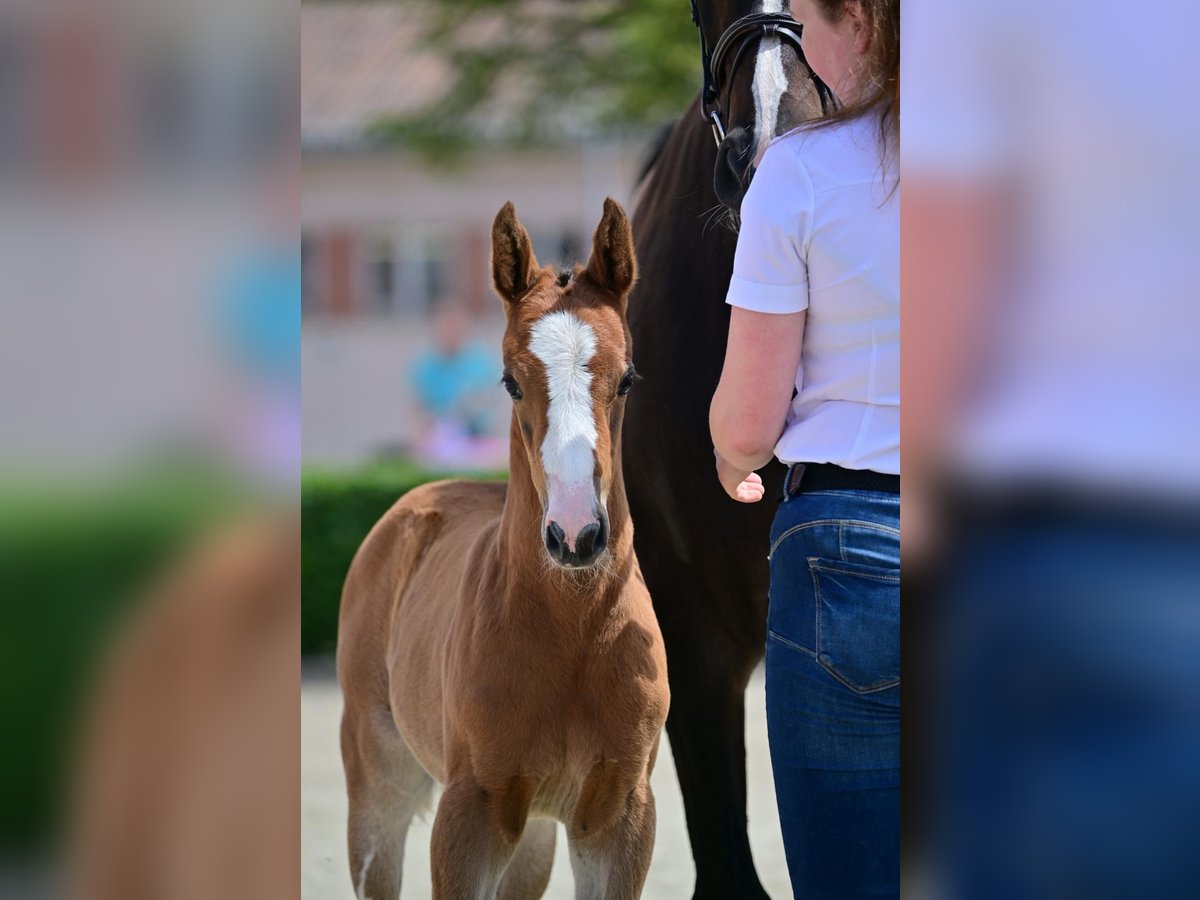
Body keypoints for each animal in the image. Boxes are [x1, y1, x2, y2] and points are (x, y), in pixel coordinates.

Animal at [338, 200, 672, 897]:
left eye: (628, 379)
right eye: (511, 382)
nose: (575, 534)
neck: (573, 629)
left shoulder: (621, 813)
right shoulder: (472, 811)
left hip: (536, 833)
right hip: (377, 784)